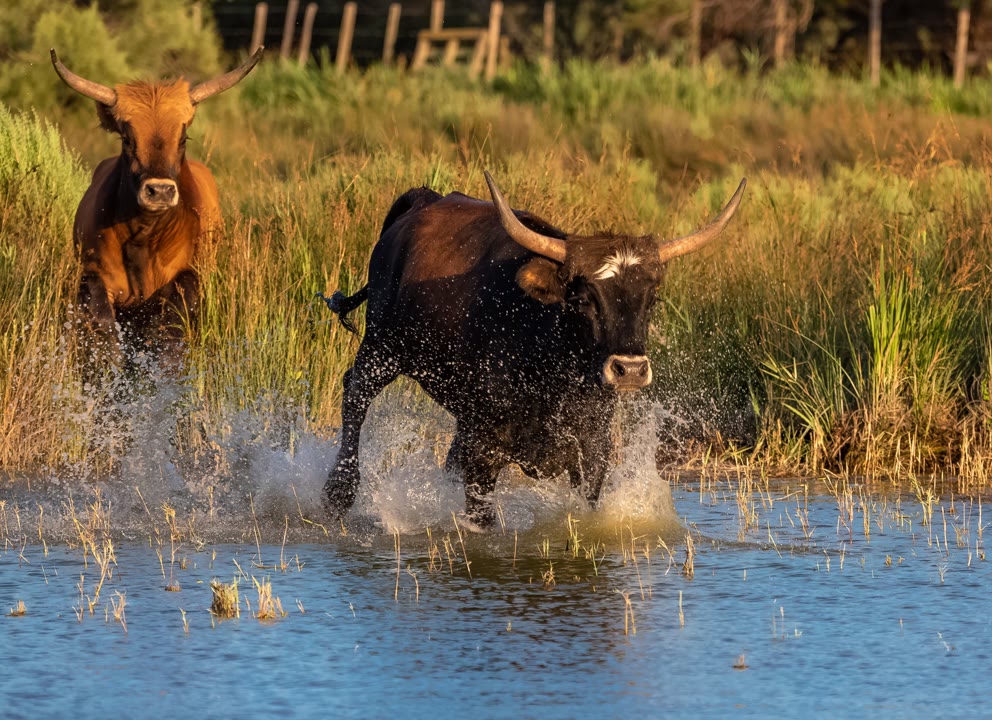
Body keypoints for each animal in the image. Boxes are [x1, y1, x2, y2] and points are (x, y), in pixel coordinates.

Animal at [51, 48, 262, 376]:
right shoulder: (93, 275)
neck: (143, 236)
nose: (160, 191)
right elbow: (104, 331)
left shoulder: (186, 276)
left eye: (183, 139)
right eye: (127, 138)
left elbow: (171, 335)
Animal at [324, 172, 744, 524]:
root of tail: (426, 200)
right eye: (583, 299)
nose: (630, 369)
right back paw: (338, 492)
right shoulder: (484, 452)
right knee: (355, 396)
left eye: (651, 298)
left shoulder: (592, 453)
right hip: (381, 349)